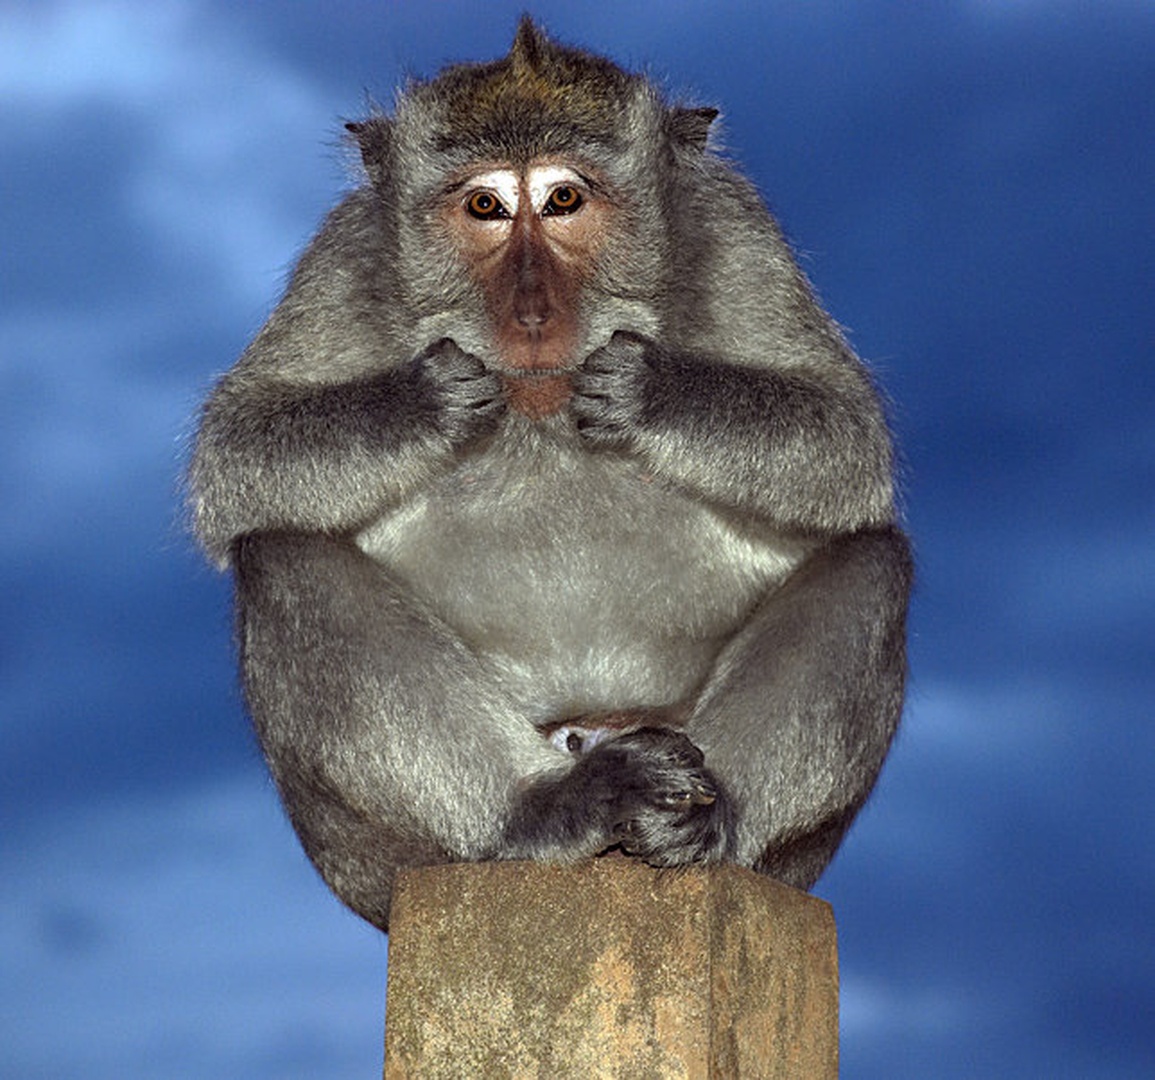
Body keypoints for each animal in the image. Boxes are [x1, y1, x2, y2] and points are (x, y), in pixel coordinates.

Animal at [189, 18, 912, 933]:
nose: (531, 313)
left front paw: (648, 391)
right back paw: (550, 807)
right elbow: (236, 456)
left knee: (869, 560)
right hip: (374, 862)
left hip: (777, 848)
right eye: (485, 207)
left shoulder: (737, 229)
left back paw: (715, 819)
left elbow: (844, 442)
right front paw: (426, 402)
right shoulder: (344, 253)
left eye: (565, 199)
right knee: (283, 555)